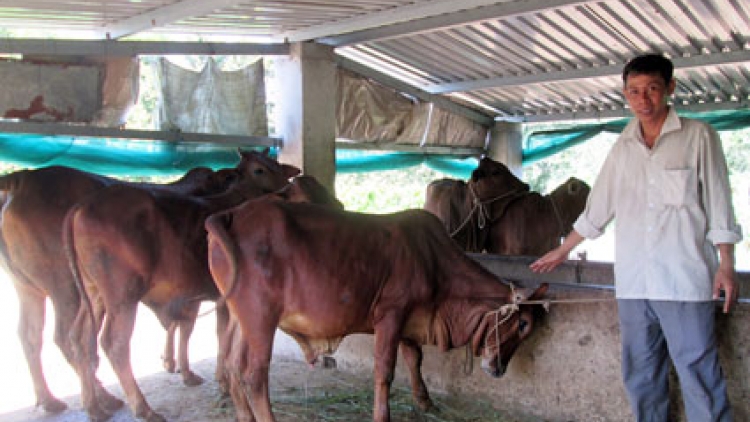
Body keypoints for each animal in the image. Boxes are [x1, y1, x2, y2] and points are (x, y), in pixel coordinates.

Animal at [0, 150, 284, 420]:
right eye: (261, 169)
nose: (285, 183)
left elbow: (192, 329)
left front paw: (187, 370)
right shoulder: (219, 298)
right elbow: (216, 336)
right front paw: (218, 381)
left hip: (74, 294)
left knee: (64, 337)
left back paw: (84, 404)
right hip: (104, 295)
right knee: (109, 343)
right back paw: (140, 407)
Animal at [204, 199, 548, 422]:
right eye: (523, 324)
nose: (499, 369)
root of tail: (233, 214)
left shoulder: (411, 317)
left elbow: (414, 358)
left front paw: (425, 402)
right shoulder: (391, 314)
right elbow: (385, 370)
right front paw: (384, 415)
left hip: (239, 317)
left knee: (232, 364)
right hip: (261, 316)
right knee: (253, 375)